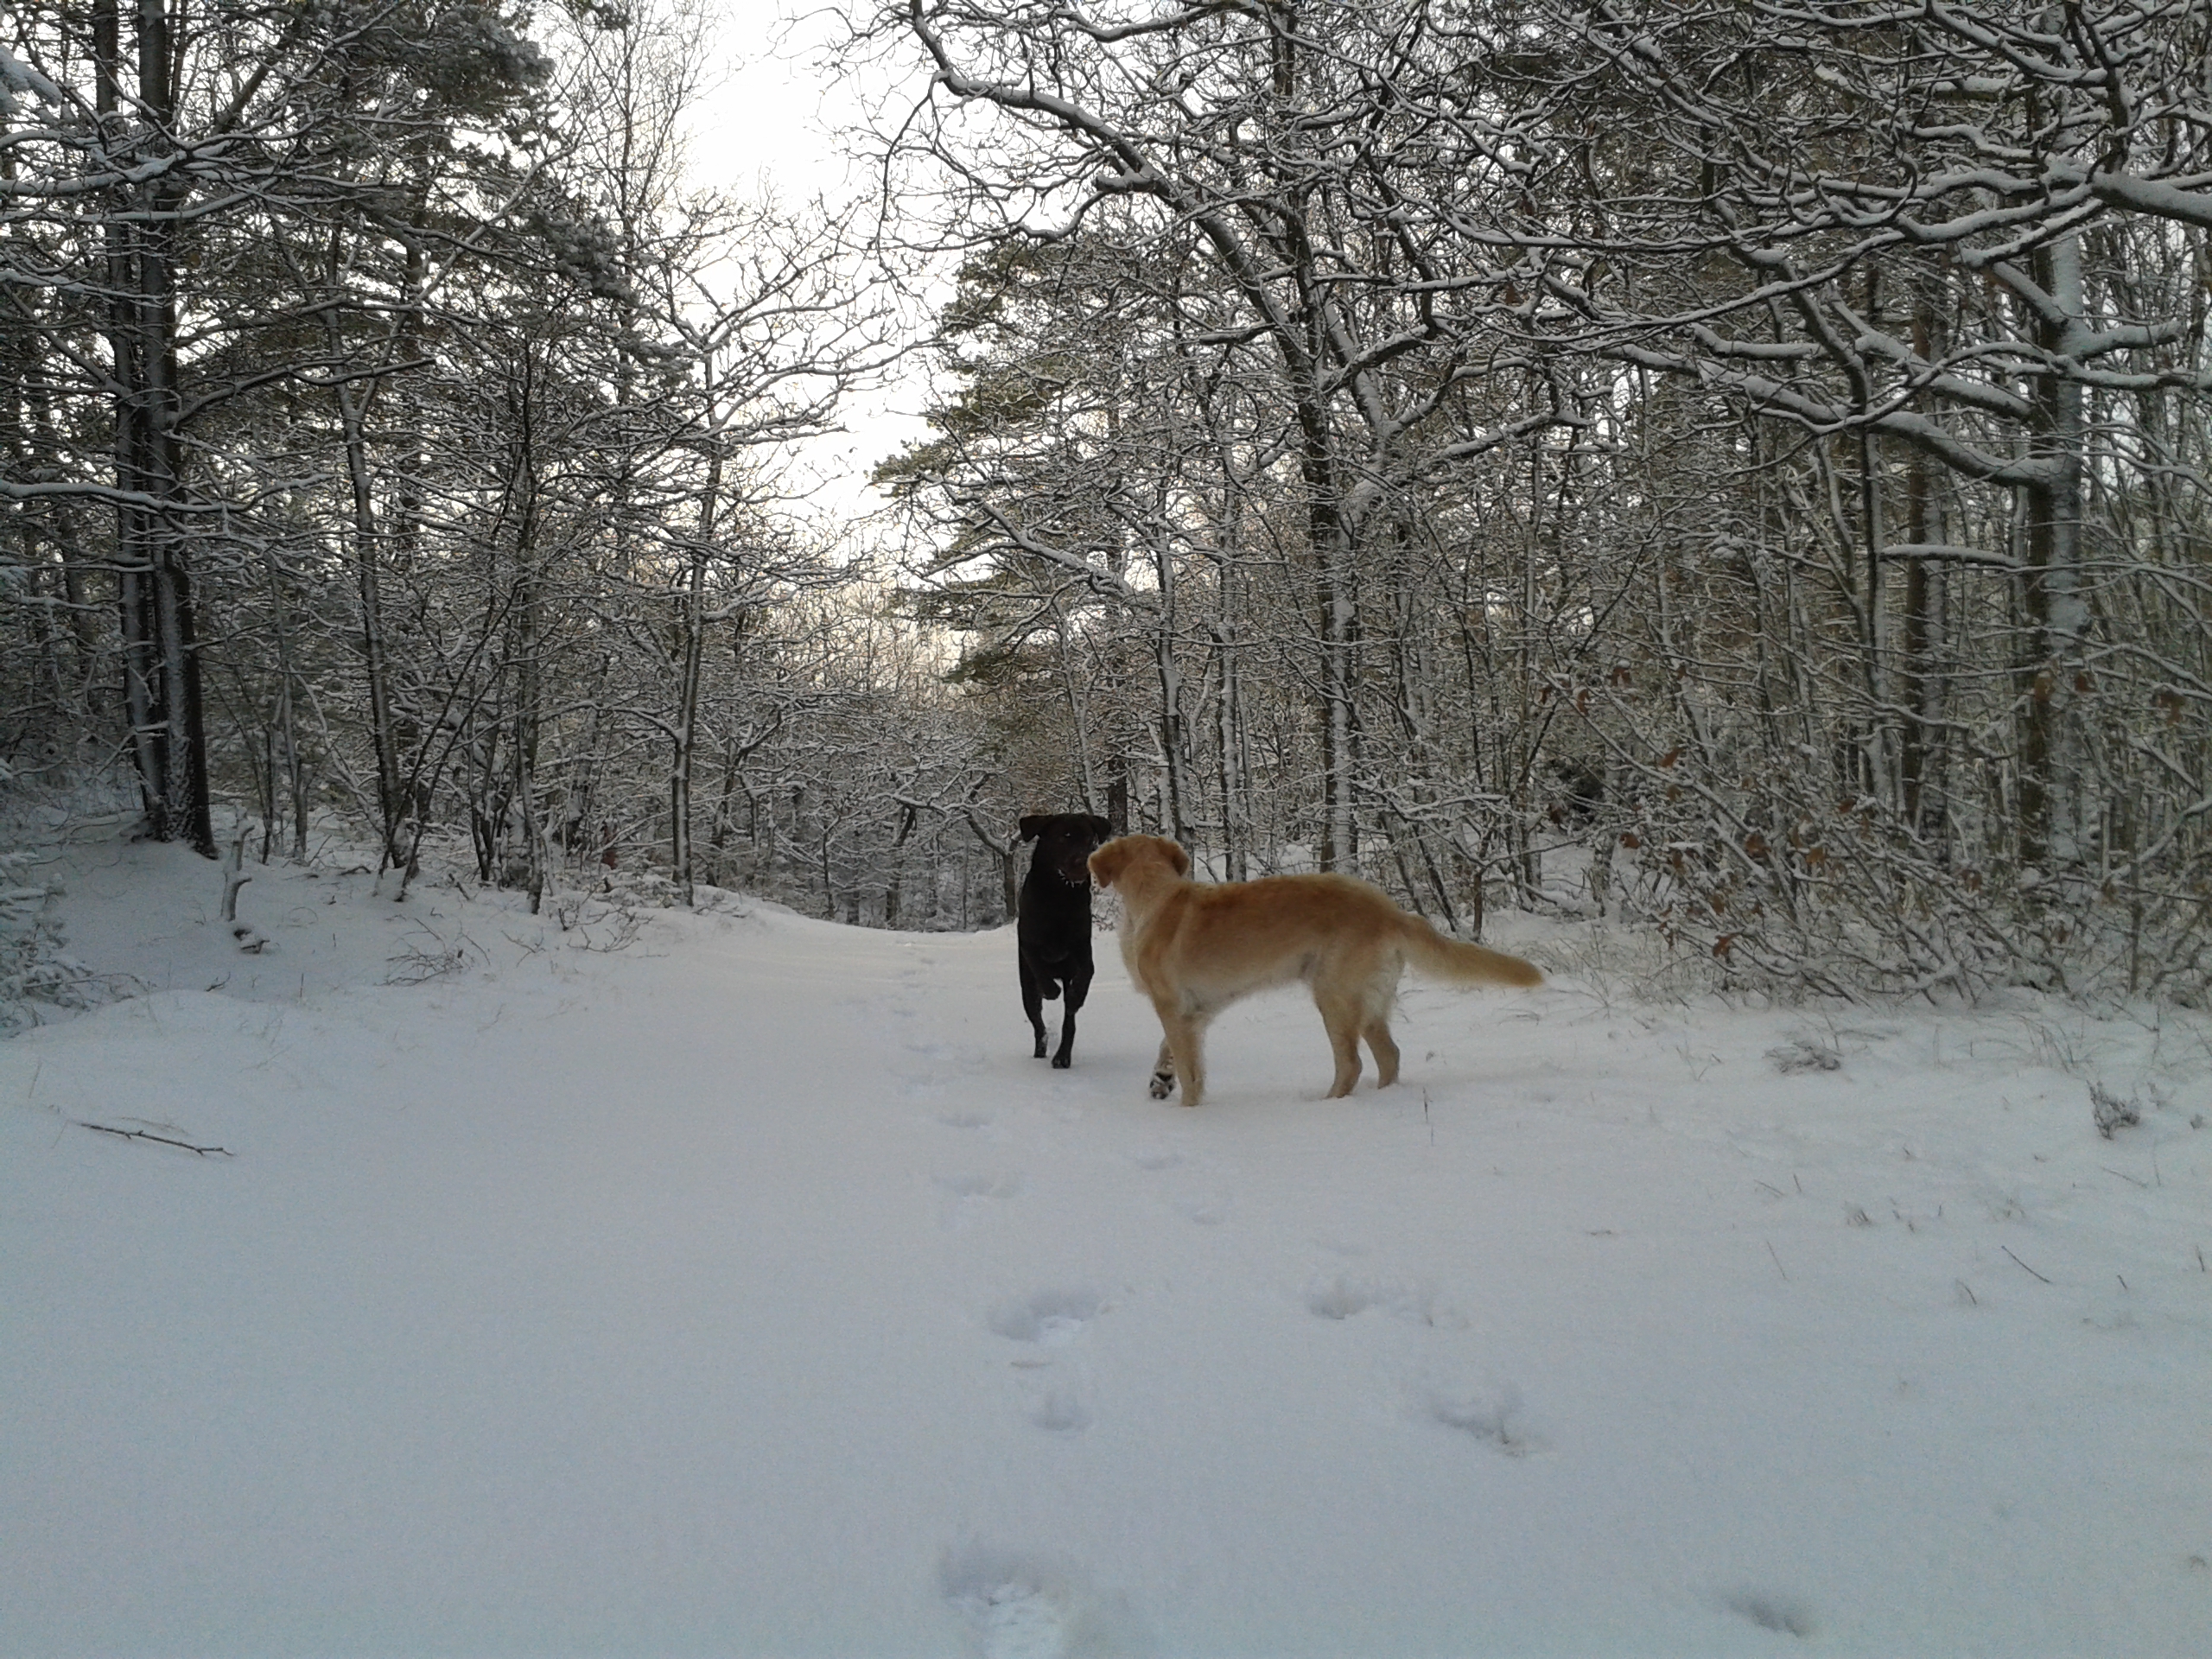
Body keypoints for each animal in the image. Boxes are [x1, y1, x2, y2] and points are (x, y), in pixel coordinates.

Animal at [1021, 814, 1115, 1071]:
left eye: (1089, 838)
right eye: (1064, 837)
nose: (1083, 862)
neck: (1060, 897)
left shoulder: (1082, 944)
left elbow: (1088, 970)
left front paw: (1076, 996)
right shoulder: (1028, 942)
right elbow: (1038, 964)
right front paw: (1051, 990)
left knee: (1068, 1023)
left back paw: (1062, 1056)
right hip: (1027, 988)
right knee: (1038, 1023)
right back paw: (1041, 1049)